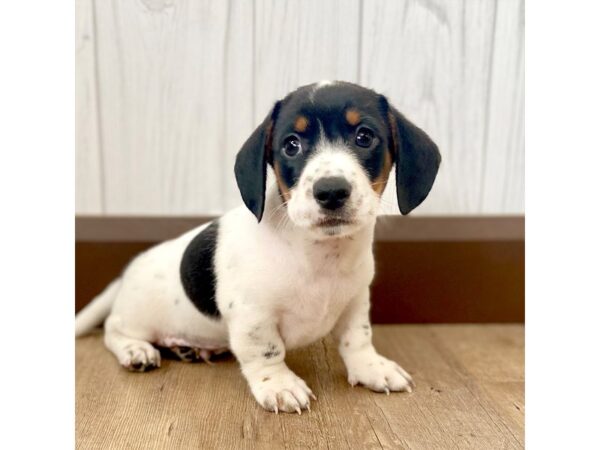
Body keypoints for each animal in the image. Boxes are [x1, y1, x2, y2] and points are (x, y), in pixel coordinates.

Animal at [75, 81, 440, 414]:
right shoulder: (253, 314)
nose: (331, 191)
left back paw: (190, 349)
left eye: (364, 137)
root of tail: (126, 275)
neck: (318, 254)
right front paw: (279, 385)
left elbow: (358, 339)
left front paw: (371, 368)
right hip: (136, 318)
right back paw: (136, 351)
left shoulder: (355, 302)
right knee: (113, 330)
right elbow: (267, 351)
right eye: (291, 145)